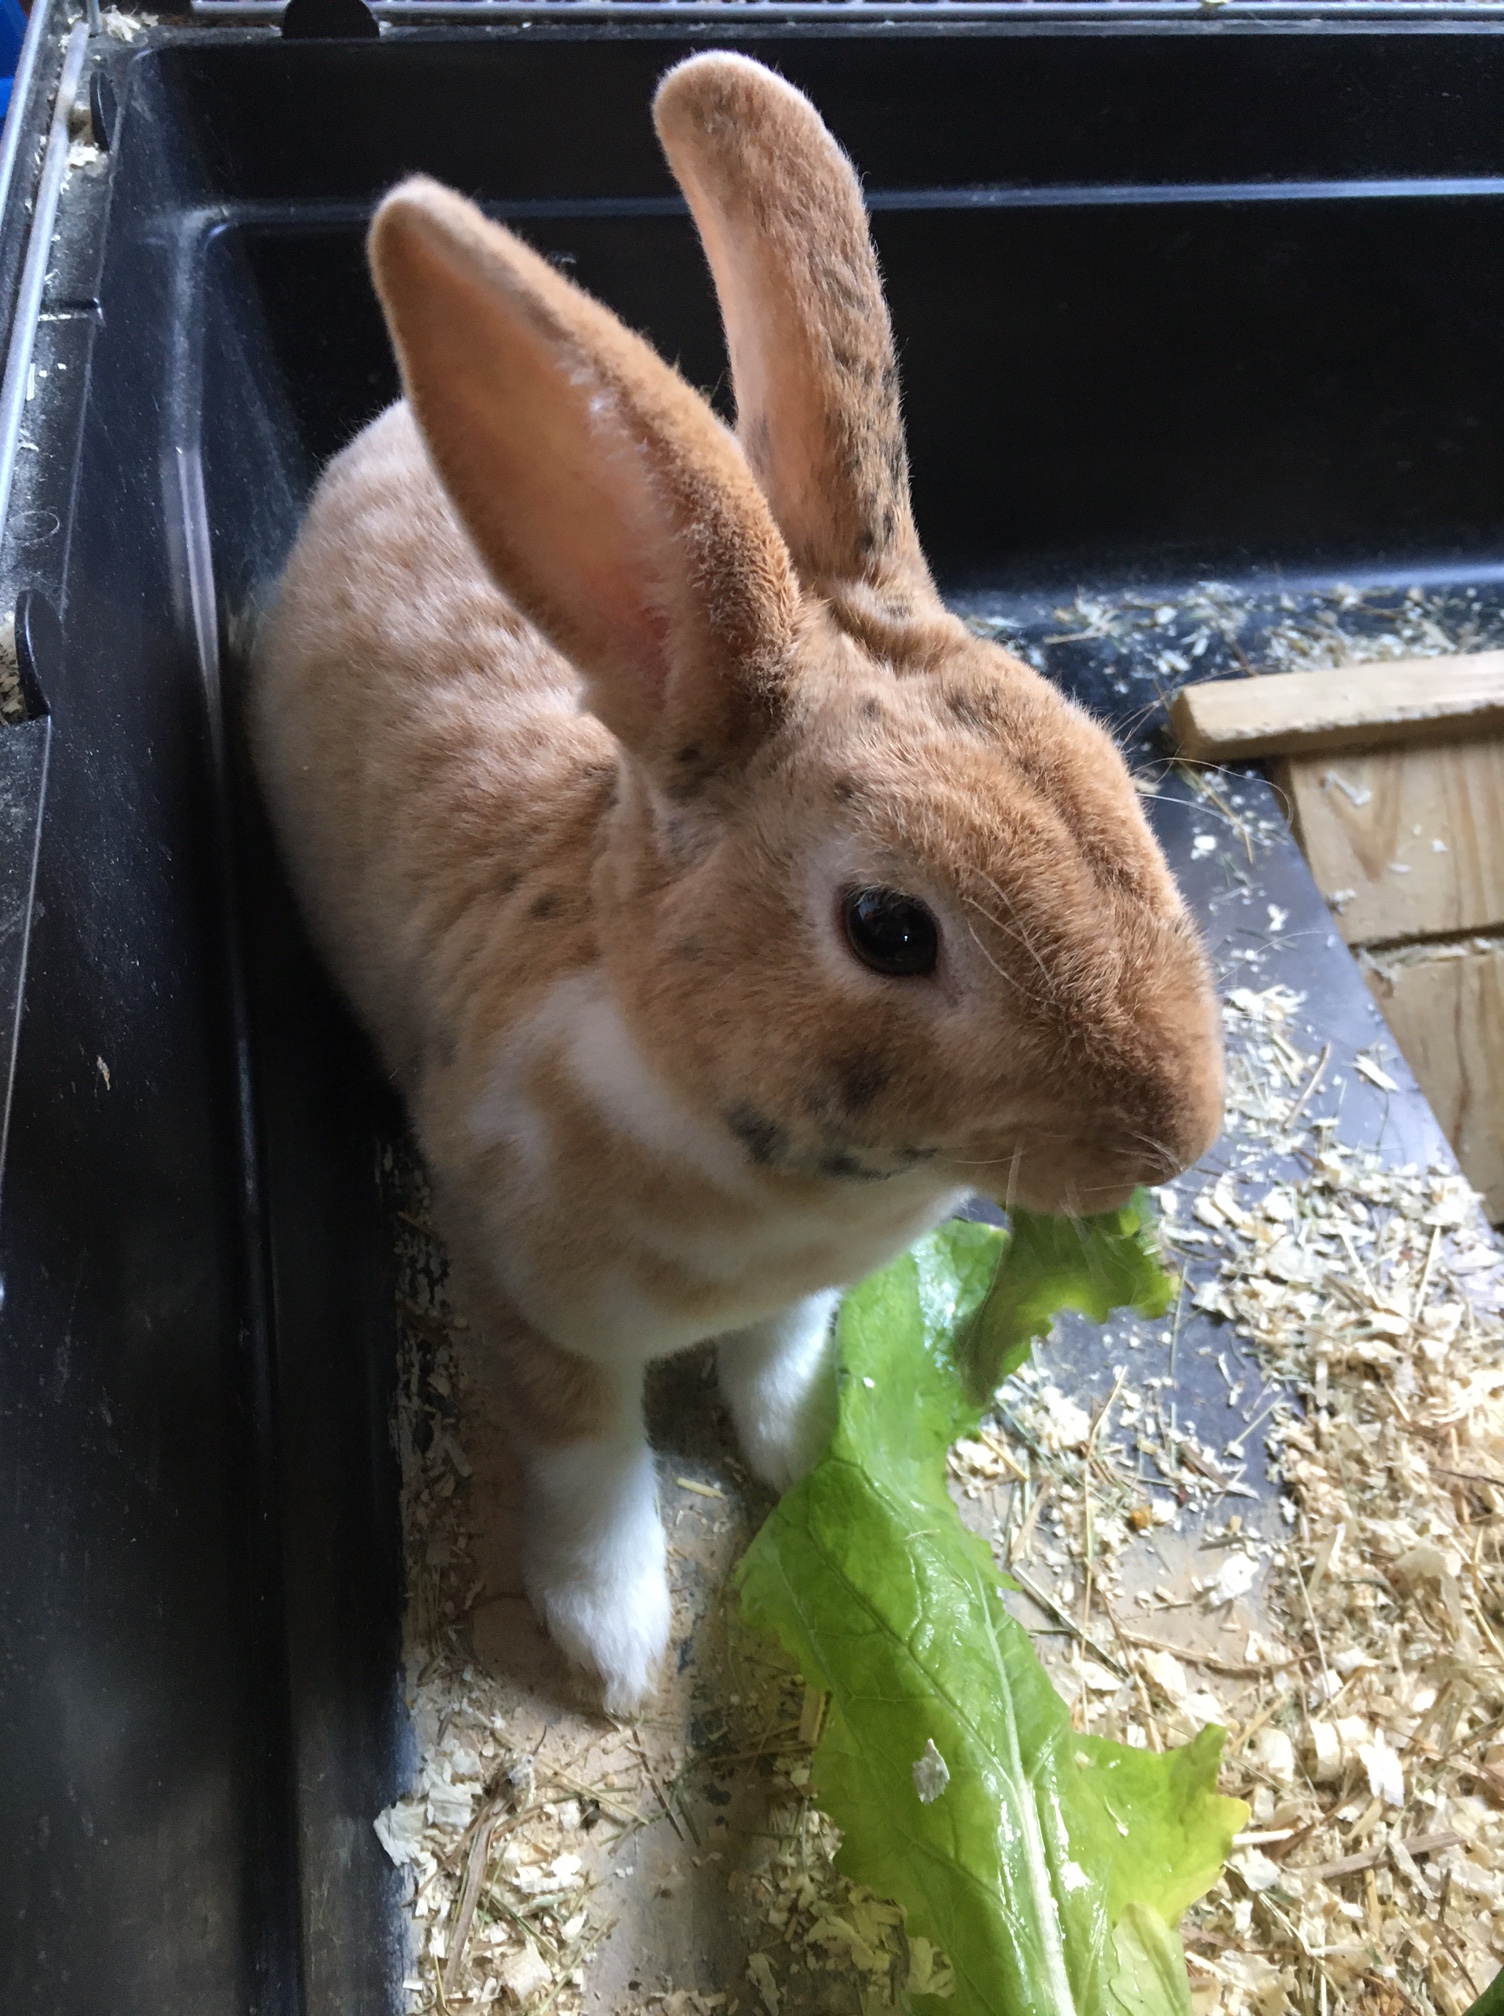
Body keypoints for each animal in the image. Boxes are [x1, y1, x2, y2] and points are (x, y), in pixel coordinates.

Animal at [250, 51, 1223, 1714]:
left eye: (1104, 769)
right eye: (889, 929)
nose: (1179, 1132)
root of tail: (387, 425)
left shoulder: (799, 1295)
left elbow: (781, 1358)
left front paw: (811, 1449)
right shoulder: (526, 1304)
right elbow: (585, 1461)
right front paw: (615, 1646)